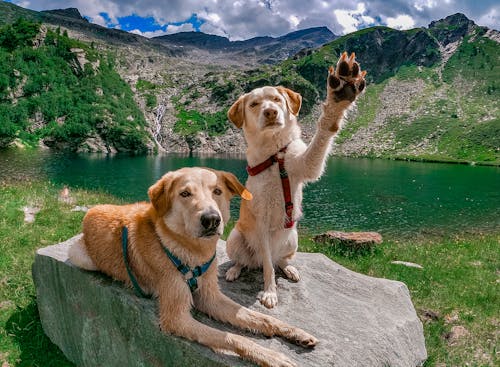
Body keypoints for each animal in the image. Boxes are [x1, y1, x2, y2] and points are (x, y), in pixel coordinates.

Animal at [67, 167, 316, 367]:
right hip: (80, 257)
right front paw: (272, 357)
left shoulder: (211, 297)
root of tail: (92, 209)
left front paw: (295, 332)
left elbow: (260, 318)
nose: (211, 219)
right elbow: (232, 337)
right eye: (185, 194)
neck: (191, 251)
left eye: (218, 192)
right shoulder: (176, 318)